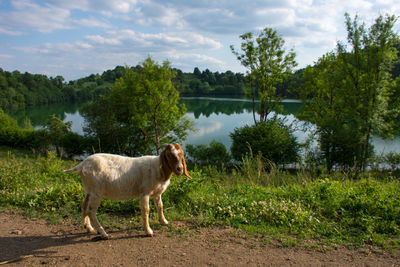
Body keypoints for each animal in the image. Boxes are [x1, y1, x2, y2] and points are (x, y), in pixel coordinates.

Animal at [63, 144, 191, 241]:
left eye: (181, 154)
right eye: (169, 155)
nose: (179, 169)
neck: (158, 169)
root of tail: (82, 165)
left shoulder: (157, 193)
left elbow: (160, 206)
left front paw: (164, 221)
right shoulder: (144, 193)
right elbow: (146, 210)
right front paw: (148, 231)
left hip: (89, 190)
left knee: (84, 206)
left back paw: (89, 228)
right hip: (96, 192)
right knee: (91, 211)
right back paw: (103, 233)